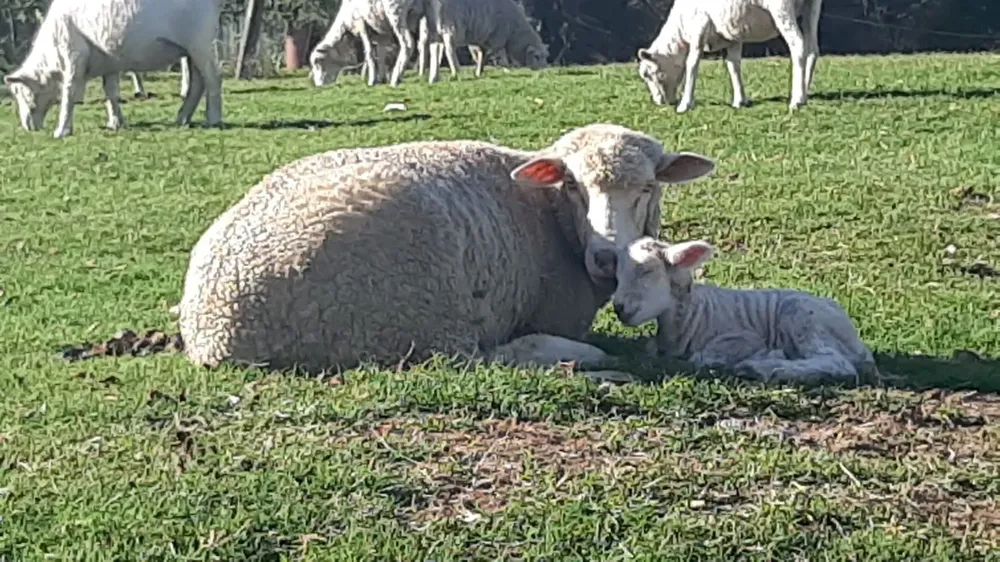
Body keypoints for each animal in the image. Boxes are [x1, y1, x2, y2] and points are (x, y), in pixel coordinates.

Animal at [3, 0, 222, 139]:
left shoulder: (74, 56)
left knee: (212, 77)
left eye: (22, 93)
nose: (27, 127)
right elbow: (110, 92)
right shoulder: (109, 61)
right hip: (190, 48)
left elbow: (69, 93)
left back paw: (213, 118)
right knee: (197, 82)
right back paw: (183, 117)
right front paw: (116, 122)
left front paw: (62, 130)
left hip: (199, 41)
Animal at [177, 124, 717, 377]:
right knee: (475, 358)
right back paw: (580, 357)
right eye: (571, 186)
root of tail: (215, 335)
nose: (606, 258)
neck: (549, 217)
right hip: (416, 308)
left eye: (647, 187)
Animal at [610, 237, 878, 384]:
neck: (692, 316)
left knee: (836, 362)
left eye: (646, 270)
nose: (618, 307)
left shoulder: (743, 337)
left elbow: (703, 358)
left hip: (802, 316)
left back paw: (766, 367)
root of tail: (858, 344)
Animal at [637, 0, 823, 113]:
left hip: (781, 7)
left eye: (648, 74)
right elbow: (733, 65)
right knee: (812, 49)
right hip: (811, 6)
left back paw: (796, 100)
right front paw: (739, 100)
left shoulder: (699, 27)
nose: (659, 102)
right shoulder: (733, 35)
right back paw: (804, 92)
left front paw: (685, 104)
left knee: (797, 45)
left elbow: (692, 63)